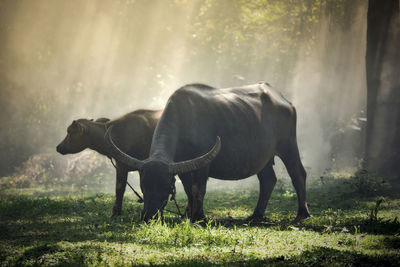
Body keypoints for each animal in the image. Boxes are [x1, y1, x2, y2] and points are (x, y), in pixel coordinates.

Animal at [104, 83, 310, 222]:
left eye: (165, 185)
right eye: (143, 185)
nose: (149, 216)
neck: (184, 122)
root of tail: (285, 101)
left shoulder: (203, 165)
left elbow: (198, 189)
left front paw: (199, 216)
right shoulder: (181, 166)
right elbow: (188, 190)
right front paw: (188, 215)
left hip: (288, 145)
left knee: (298, 174)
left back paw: (302, 214)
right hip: (263, 158)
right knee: (268, 180)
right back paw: (256, 215)